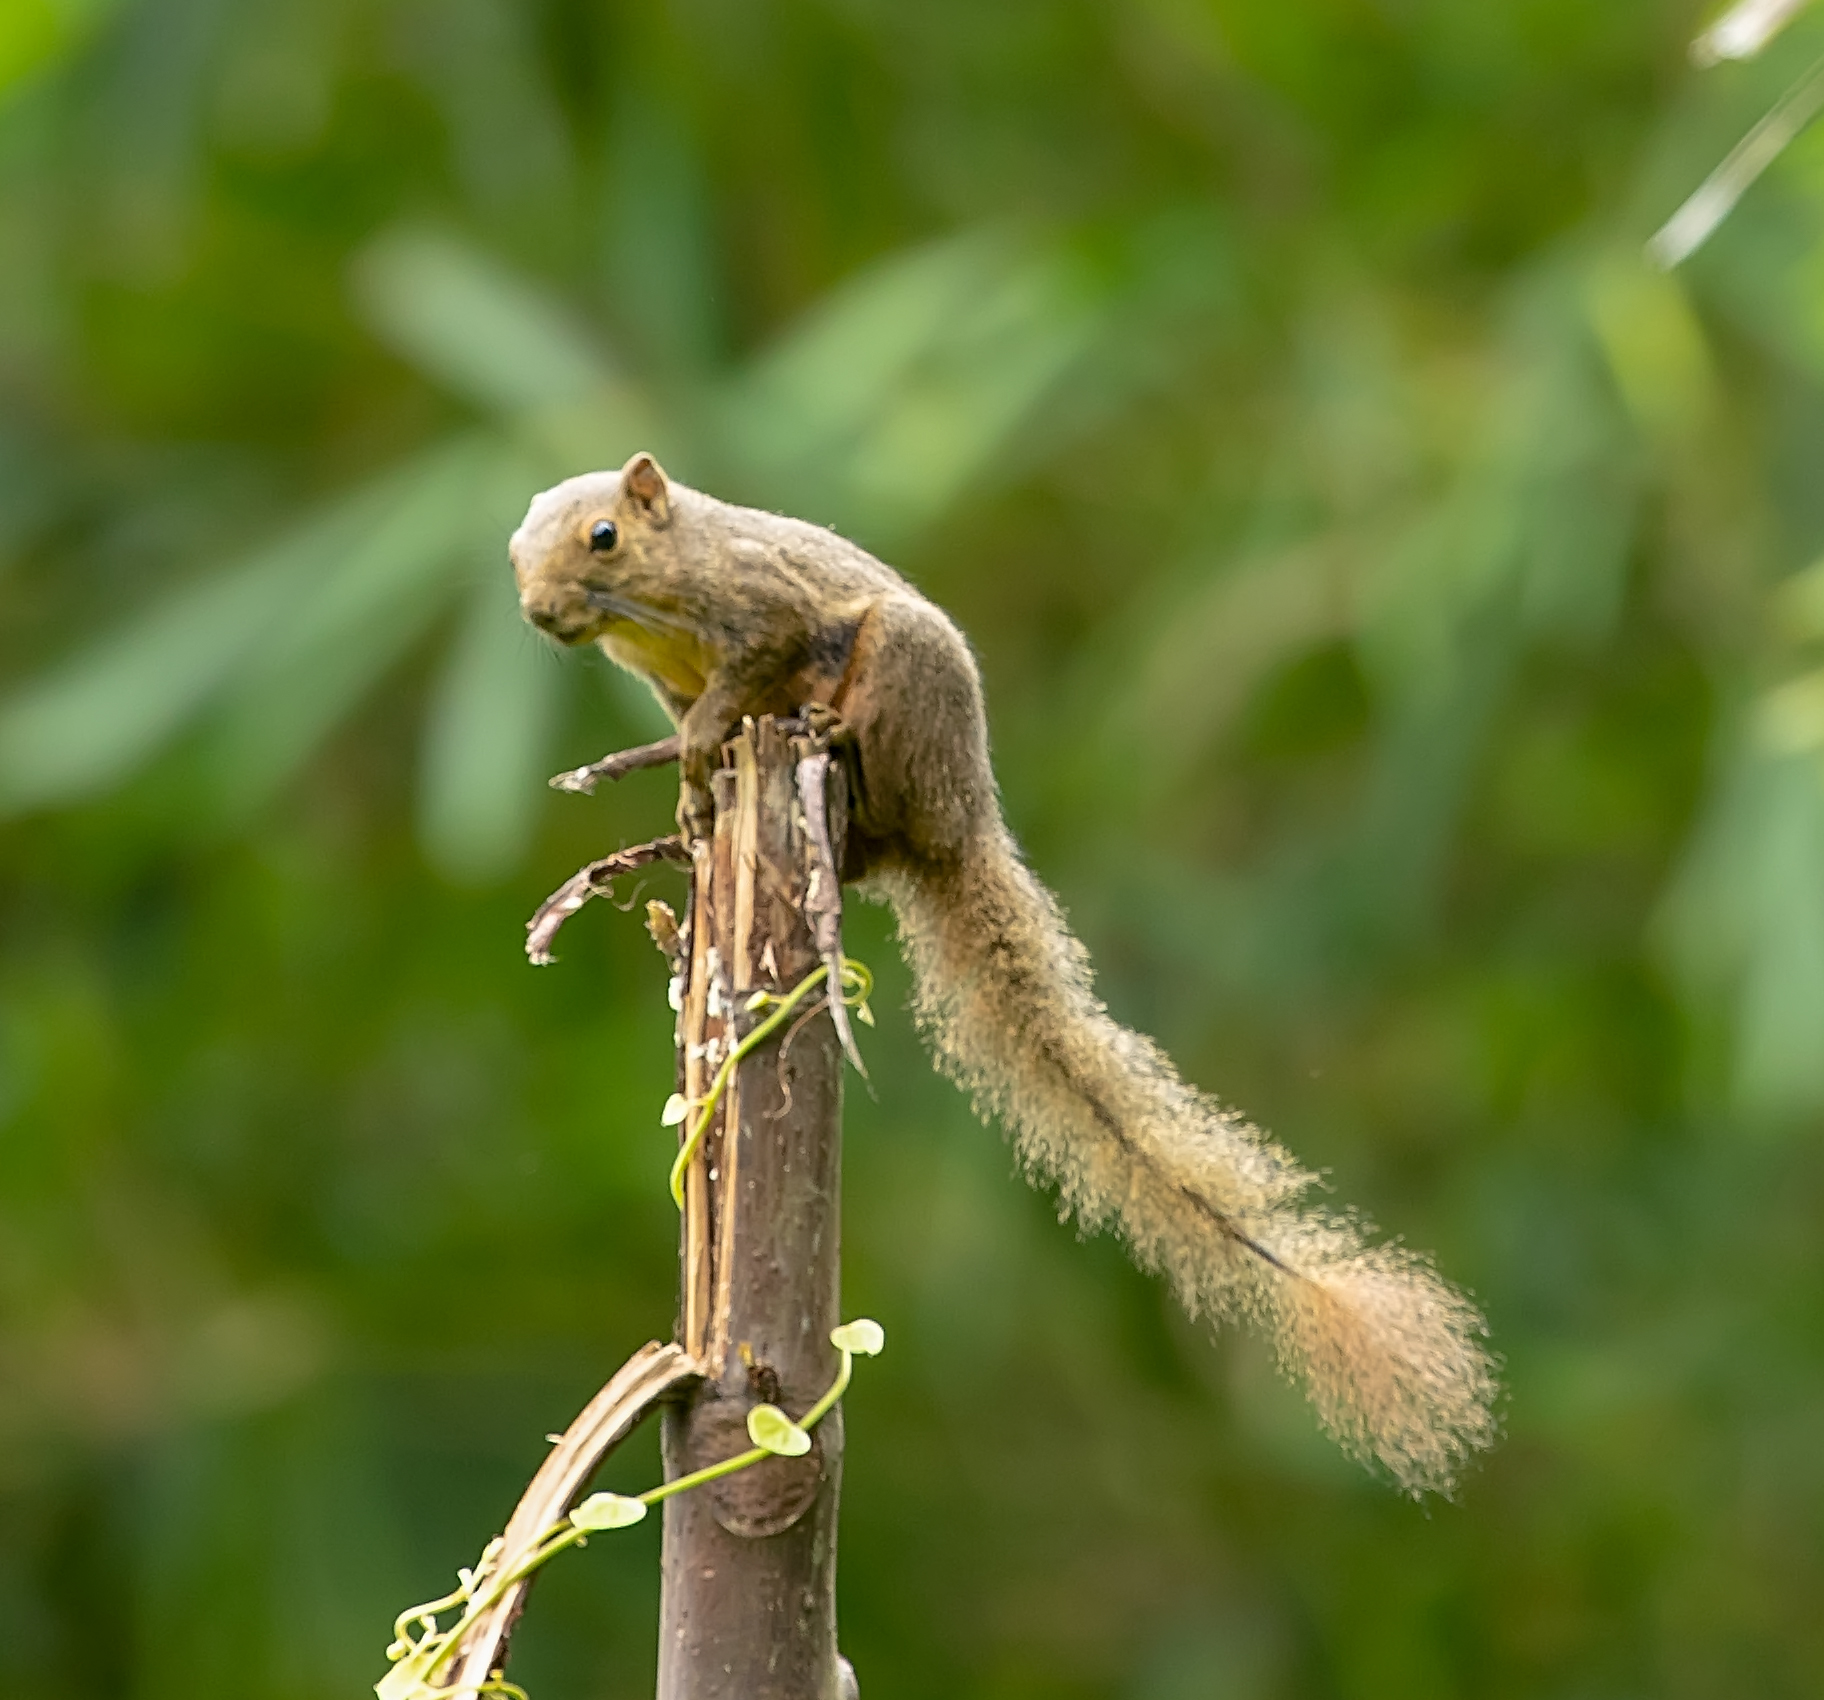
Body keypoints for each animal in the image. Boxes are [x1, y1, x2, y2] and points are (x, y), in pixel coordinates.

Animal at [510, 448, 1495, 1488]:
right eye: (515, 551)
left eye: (604, 537)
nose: (539, 610)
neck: (657, 597)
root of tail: (962, 821)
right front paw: (690, 797)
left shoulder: (758, 610)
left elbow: (736, 686)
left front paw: (697, 750)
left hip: (903, 677)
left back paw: (826, 732)